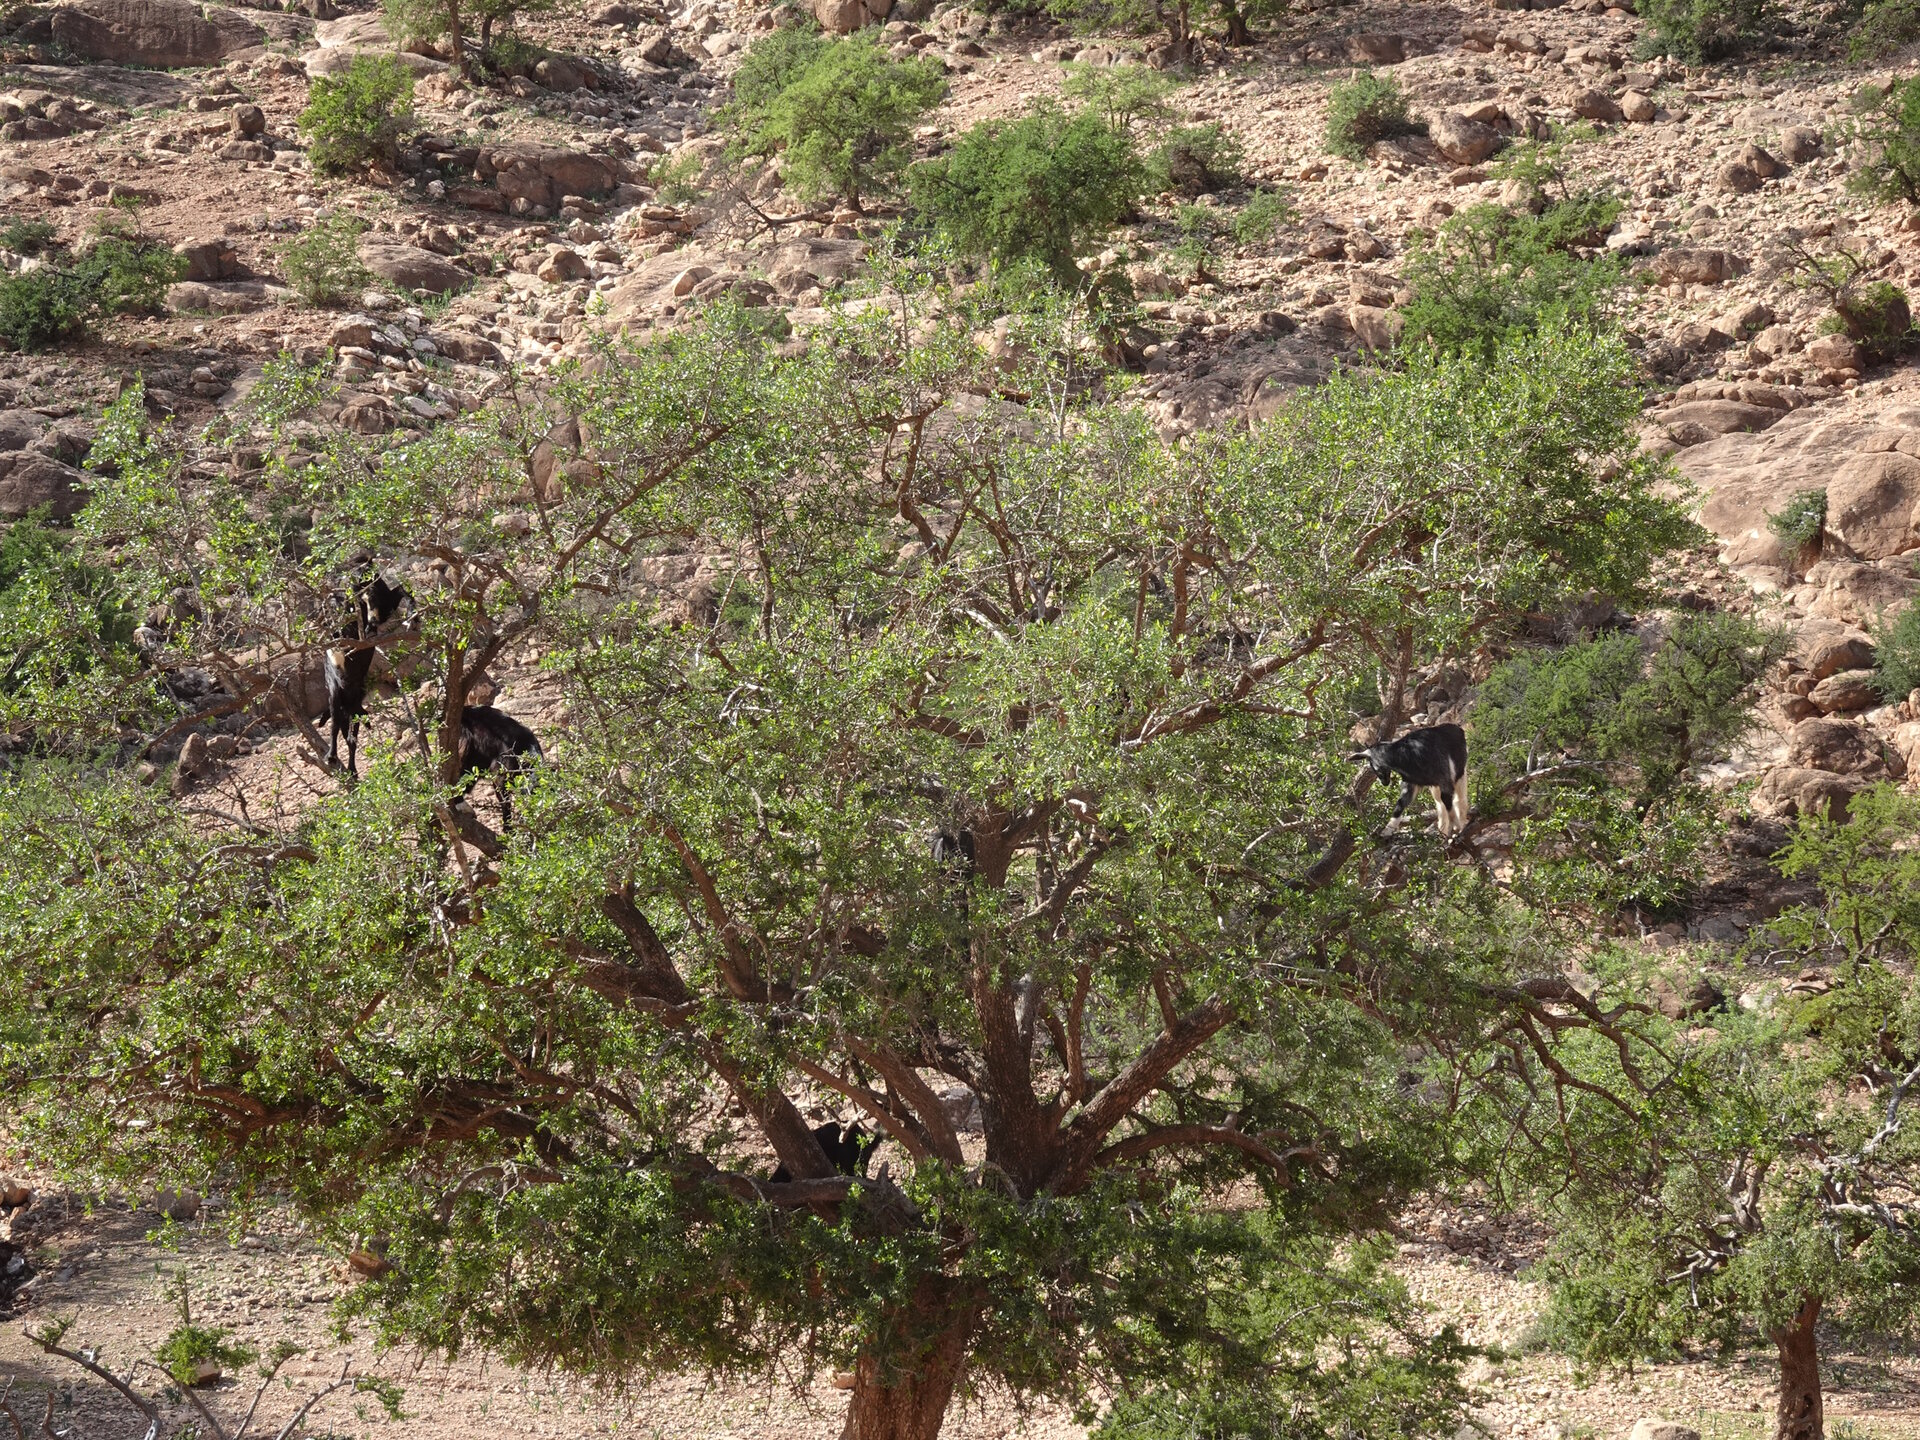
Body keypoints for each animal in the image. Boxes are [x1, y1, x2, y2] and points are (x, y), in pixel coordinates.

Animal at [323, 575, 410, 777]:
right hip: (340, 699)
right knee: (338, 728)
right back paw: (334, 757)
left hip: (350, 706)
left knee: (348, 736)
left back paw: (348, 767)